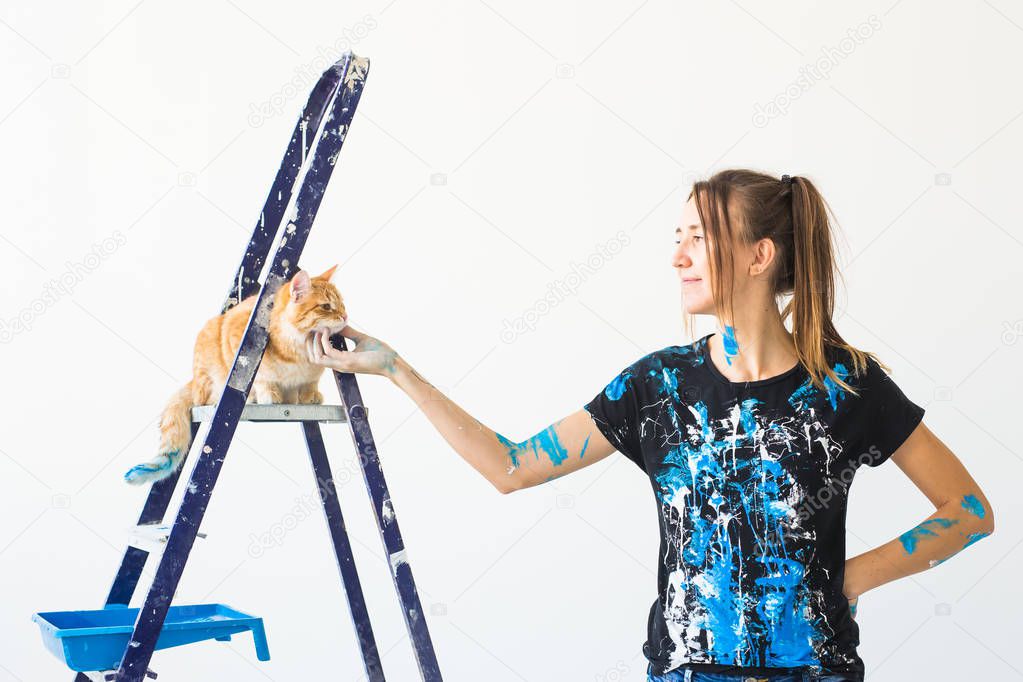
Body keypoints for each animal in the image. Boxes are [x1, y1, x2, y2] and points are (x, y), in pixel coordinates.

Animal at [122, 265, 347, 484]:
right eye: (327, 307)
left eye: (343, 304)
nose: (345, 317)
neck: (298, 351)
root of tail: (194, 382)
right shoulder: (240, 342)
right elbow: (263, 379)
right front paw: (269, 394)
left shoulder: (312, 374)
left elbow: (310, 383)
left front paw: (309, 396)